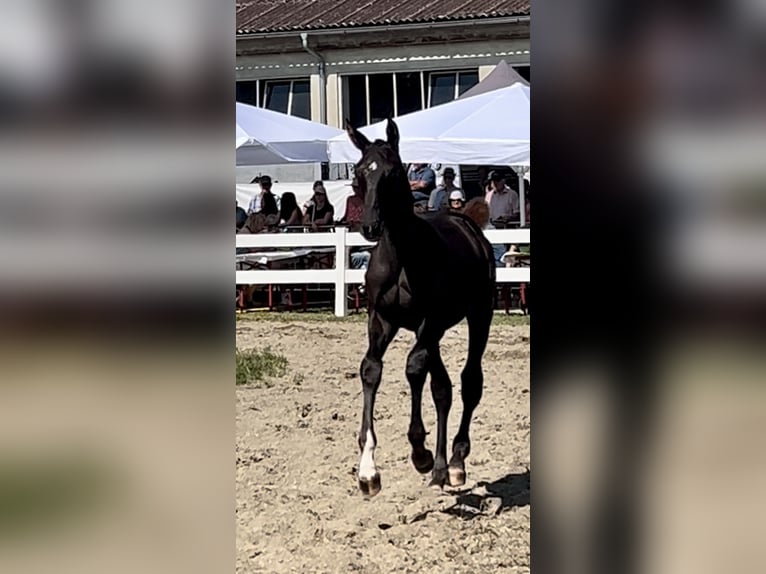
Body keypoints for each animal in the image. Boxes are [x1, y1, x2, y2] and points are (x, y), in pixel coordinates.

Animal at [350, 119, 498, 498]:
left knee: (469, 381)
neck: (402, 256)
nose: (370, 226)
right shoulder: (381, 319)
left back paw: (455, 463)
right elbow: (371, 369)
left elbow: (413, 369)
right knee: (442, 389)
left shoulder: (428, 321)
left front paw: (420, 452)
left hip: (478, 315)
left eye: (391, 172)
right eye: (359, 172)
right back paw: (442, 467)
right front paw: (368, 471)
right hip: (436, 332)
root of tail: (465, 220)